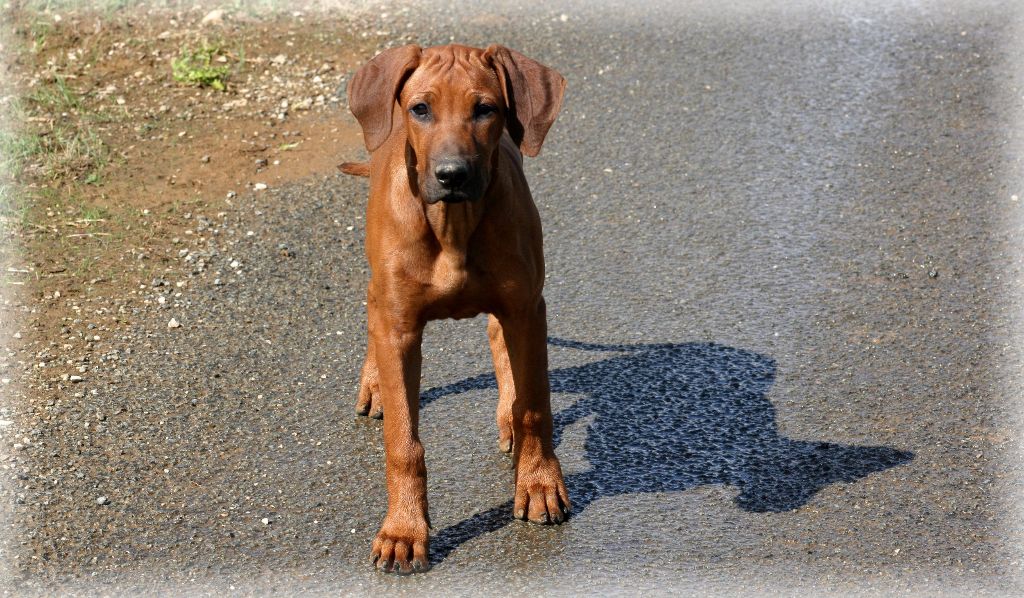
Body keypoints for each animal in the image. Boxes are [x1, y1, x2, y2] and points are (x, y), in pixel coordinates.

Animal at [339, 43, 573, 573]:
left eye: (485, 109)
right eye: (420, 109)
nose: (453, 175)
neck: (454, 224)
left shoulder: (527, 308)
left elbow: (535, 407)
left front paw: (538, 483)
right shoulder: (400, 327)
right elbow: (404, 442)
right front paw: (403, 530)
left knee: (498, 341)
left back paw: (508, 415)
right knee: (371, 307)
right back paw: (374, 384)